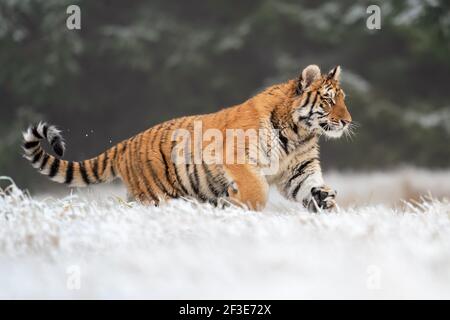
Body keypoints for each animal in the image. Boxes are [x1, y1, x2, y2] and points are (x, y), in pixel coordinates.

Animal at [22, 63, 352, 211]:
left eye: (343, 99)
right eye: (328, 100)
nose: (348, 121)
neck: (299, 132)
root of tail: (127, 143)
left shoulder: (298, 170)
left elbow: (309, 185)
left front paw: (325, 200)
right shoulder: (238, 159)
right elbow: (256, 188)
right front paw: (238, 205)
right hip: (157, 195)